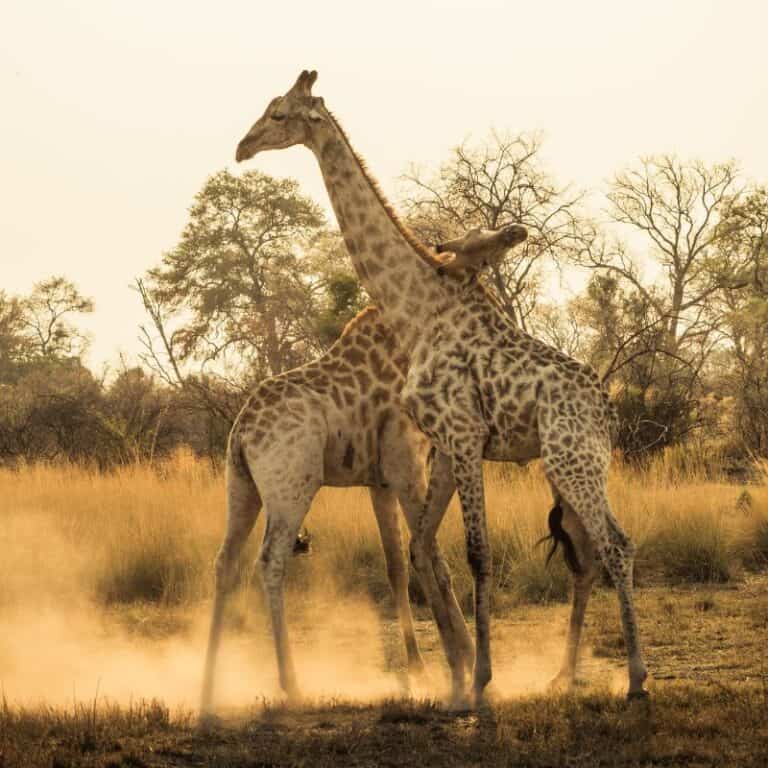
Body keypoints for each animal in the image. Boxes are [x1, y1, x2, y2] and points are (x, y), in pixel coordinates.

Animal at [200, 219, 524, 712]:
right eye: (476, 241)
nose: (515, 231)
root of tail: (241, 434)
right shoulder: (407, 464)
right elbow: (432, 555)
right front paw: (466, 663)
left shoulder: (380, 481)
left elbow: (395, 563)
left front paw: (420, 668)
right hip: (292, 487)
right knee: (269, 560)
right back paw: (291, 684)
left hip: (241, 487)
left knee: (225, 562)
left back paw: (209, 684)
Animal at [234, 70, 649, 706]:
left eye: (279, 114)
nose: (243, 147)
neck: (418, 310)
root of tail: (607, 407)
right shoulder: (446, 446)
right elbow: (422, 548)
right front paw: (456, 680)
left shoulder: (464, 433)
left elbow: (477, 554)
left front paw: (480, 681)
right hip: (567, 463)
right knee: (591, 552)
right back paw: (570, 675)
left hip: (574, 460)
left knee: (616, 546)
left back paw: (635, 679)